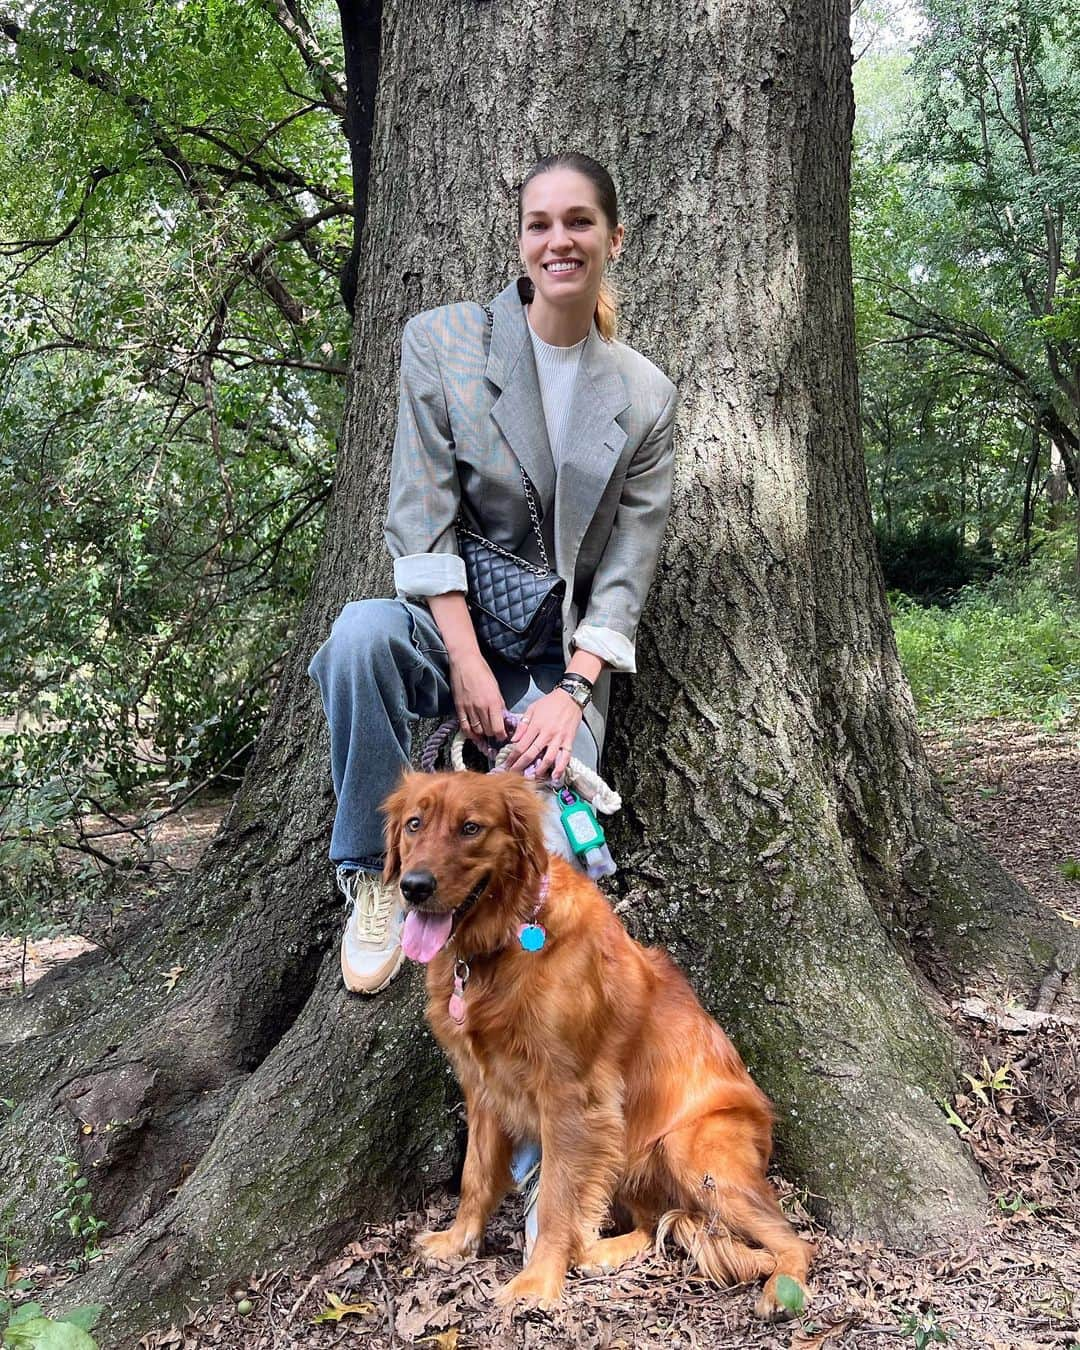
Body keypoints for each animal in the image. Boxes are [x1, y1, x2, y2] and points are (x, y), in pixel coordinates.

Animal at [383, 772, 815, 1317]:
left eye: (470, 828)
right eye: (415, 823)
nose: (414, 887)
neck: (504, 942)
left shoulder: (572, 1097)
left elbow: (555, 1197)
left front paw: (537, 1280)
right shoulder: (481, 1086)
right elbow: (475, 1176)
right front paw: (458, 1241)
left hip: (688, 1147)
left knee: (794, 1239)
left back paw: (784, 1286)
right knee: (653, 1223)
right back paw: (600, 1252)